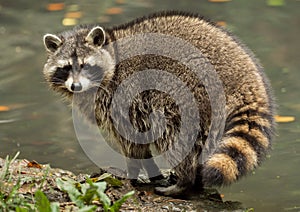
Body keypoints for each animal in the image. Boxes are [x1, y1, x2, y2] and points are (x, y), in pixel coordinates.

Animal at [42, 11, 274, 195]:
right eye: (65, 68)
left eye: (85, 66)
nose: (76, 86)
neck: (111, 52)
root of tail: (242, 75)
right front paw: (151, 171)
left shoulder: (123, 95)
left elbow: (132, 139)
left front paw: (132, 171)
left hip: (187, 91)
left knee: (175, 136)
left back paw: (185, 181)